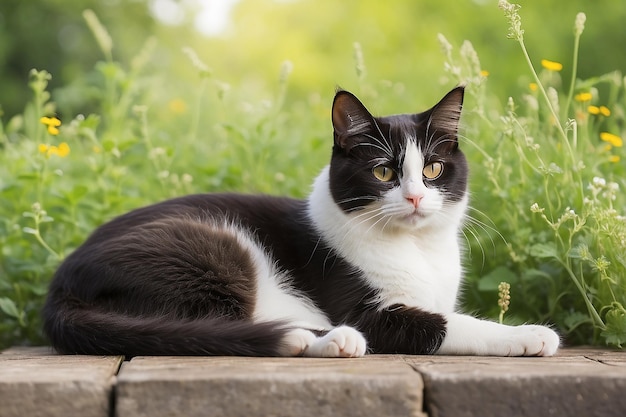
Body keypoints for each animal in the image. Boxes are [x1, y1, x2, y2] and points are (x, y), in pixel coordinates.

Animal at [45, 86, 560, 356]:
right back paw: (322, 339)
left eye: (432, 169)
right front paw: (528, 334)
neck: (416, 250)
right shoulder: (369, 310)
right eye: (383, 172)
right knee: (217, 328)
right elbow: (446, 324)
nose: (415, 196)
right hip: (213, 251)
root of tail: (59, 286)